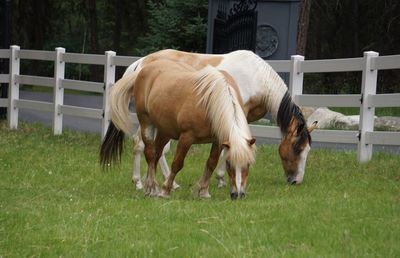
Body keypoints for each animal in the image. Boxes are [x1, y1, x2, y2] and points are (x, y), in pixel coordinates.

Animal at [100, 59, 256, 199]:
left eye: (248, 163)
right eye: (229, 163)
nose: (238, 194)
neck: (211, 100)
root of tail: (144, 68)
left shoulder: (218, 140)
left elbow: (211, 163)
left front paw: (203, 192)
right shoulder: (186, 137)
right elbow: (177, 164)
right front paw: (165, 190)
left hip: (164, 131)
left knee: (157, 154)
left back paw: (151, 186)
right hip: (146, 123)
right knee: (149, 153)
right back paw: (151, 188)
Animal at [123, 50, 318, 187]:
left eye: (307, 150)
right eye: (297, 149)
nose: (296, 181)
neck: (254, 76)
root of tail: (140, 63)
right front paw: (222, 179)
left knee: (155, 149)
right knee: (142, 145)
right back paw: (140, 182)